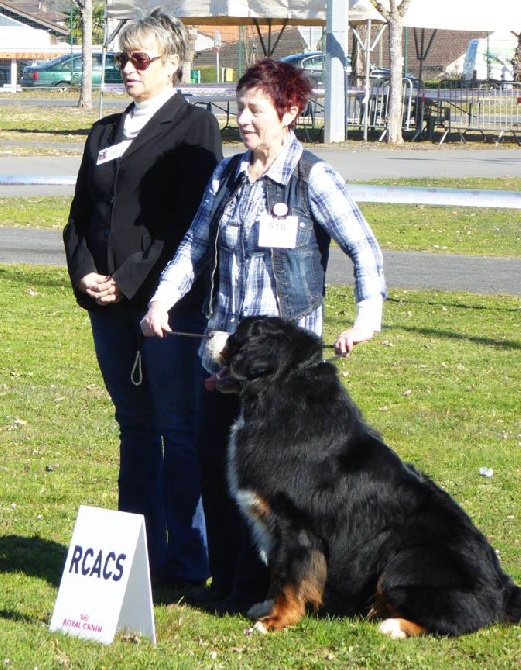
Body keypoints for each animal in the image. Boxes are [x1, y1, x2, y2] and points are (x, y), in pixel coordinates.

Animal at [210, 318, 520, 636]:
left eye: (237, 337)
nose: (209, 332)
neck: (278, 389)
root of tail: (504, 589)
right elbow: (277, 571)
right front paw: (266, 605)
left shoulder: (294, 524)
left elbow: (292, 578)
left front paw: (276, 620)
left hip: (403, 564)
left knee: (451, 620)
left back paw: (393, 625)